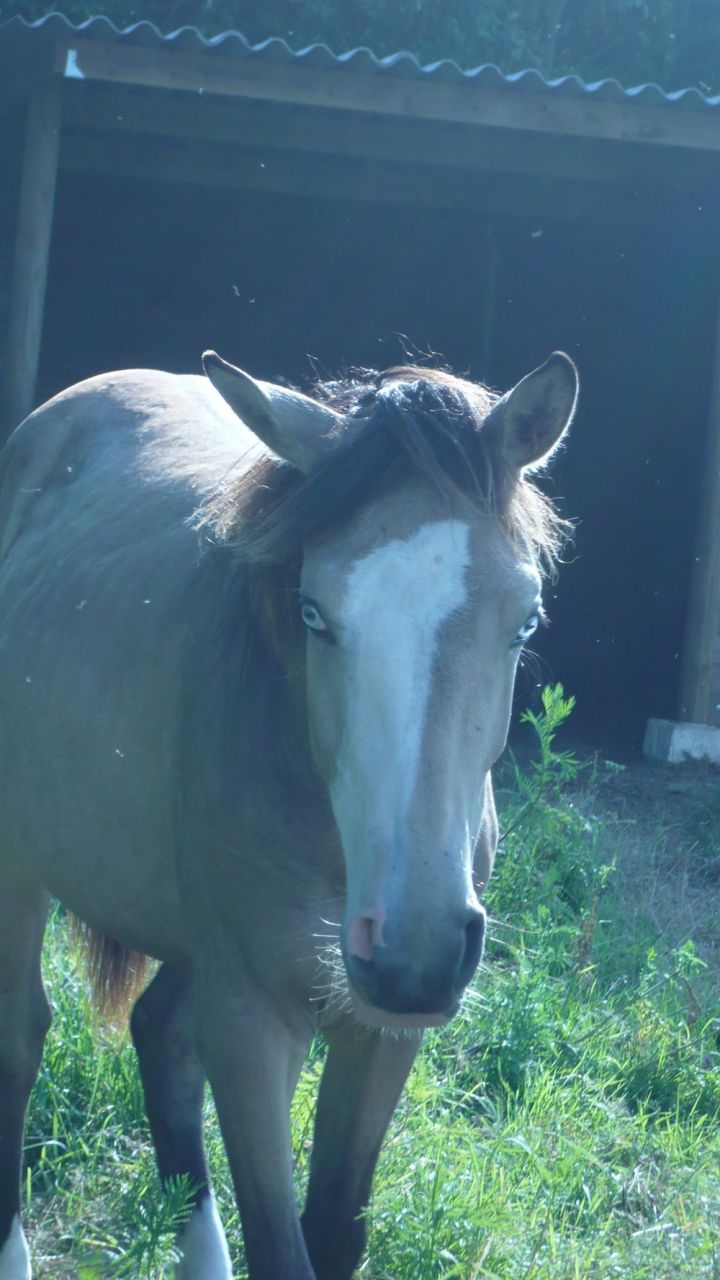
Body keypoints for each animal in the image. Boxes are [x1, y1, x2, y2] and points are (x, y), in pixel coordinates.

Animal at [0, 348, 577, 1280]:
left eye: (524, 620)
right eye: (314, 612)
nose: (412, 953)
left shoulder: (385, 1034)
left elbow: (334, 1227)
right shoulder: (252, 1019)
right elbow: (282, 1243)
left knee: (162, 1035)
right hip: (21, 870)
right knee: (22, 1036)